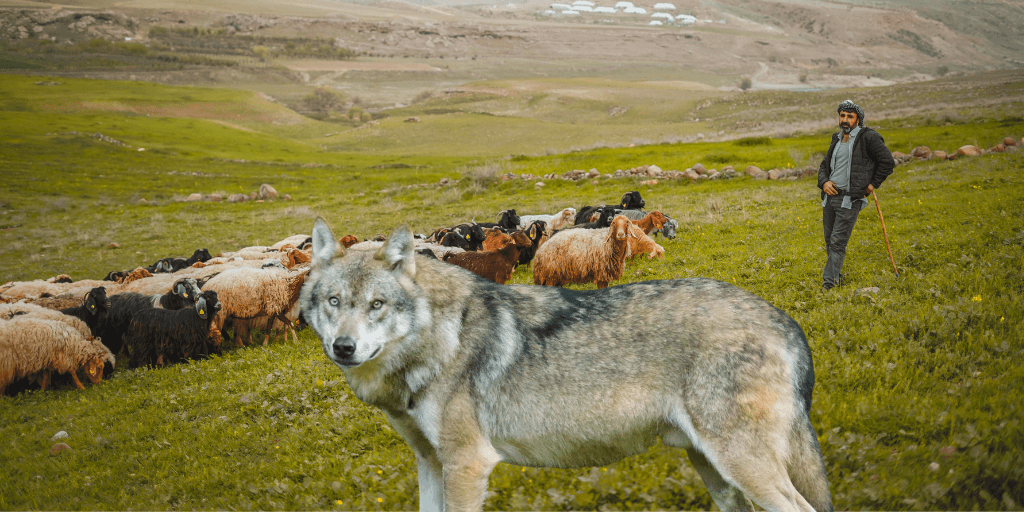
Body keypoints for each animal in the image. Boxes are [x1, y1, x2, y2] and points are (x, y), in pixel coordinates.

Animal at [296, 218, 831, 509]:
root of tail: (783, 318)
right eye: (333, 302)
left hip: (741, 465)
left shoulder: (467, 466)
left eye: (376, 306)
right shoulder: (429, 464)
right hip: (716, 472)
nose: (343, 348)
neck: (438, 339)